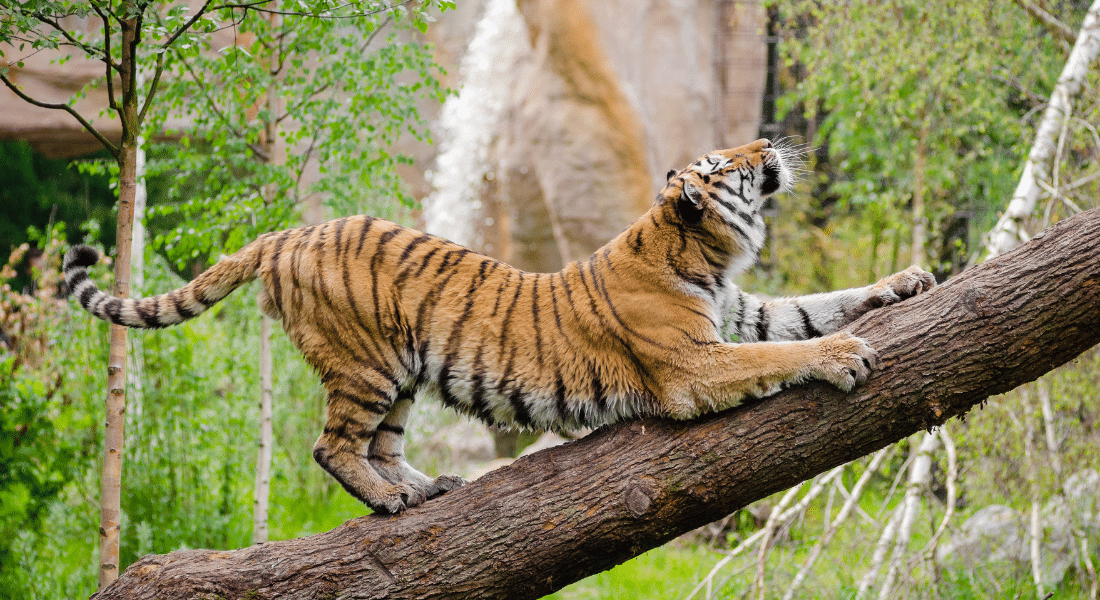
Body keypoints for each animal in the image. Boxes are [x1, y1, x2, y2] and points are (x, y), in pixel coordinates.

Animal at [64, 138, 932, 513]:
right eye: (729, 165)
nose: (768, 142)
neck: (707, 254)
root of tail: (287, 234)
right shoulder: (692, 365)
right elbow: (793, 346)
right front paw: (846, 355)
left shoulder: (742, 314)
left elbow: (814, 304)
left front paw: (906, 280)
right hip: (368, 364)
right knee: (332, 445)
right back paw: (389, 502)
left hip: (404, 374)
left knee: (382, 444)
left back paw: (424, 486)